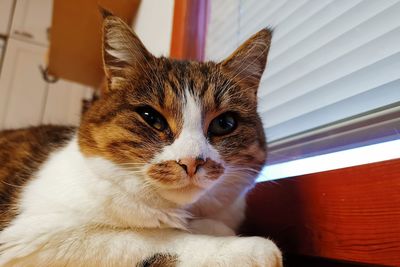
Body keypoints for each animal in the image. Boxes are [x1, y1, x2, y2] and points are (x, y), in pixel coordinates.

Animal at [0, 8, 282, 267]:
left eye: (224, 124)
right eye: (151, 117)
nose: (191, 162)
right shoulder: (32, 237)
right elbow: (149, 236)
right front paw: (242, 247)